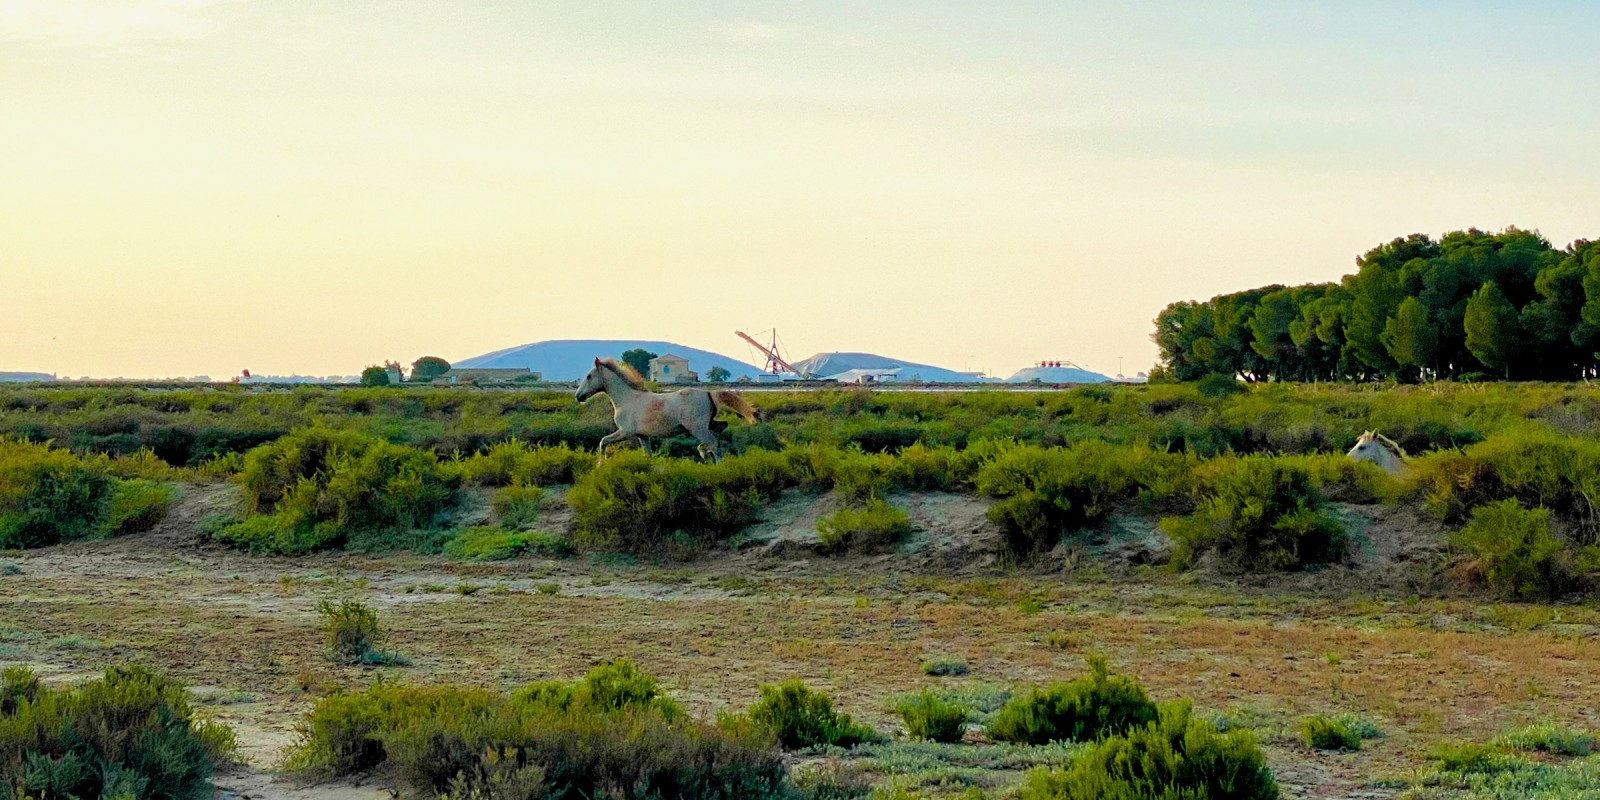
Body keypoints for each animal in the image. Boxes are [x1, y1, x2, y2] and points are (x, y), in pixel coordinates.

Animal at [575, 358, 759, 463]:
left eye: (589, 376)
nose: (578, 396)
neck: (626, 398)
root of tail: (708, 393)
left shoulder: (625, 431)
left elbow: (603, 441)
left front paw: (602, 463)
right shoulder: (643, 436)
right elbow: (647, 455)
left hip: (697, 428)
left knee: (713, 443)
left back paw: (710, 459)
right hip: (707, 424)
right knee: (721, 429)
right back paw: (705, 452)